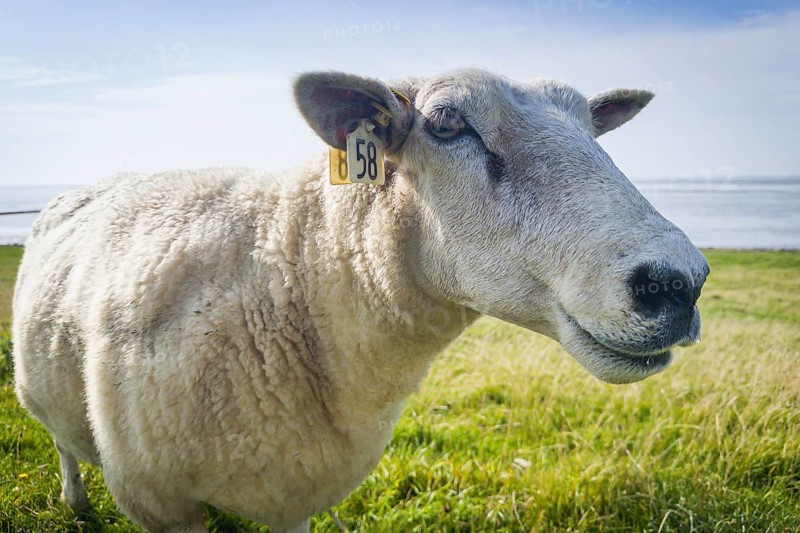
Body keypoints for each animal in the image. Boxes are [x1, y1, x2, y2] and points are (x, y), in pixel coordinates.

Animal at [12, 68, 709, 532]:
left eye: (594, 130)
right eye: (447, 124)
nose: (678, 283)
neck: (290, 273)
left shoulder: (295, 493)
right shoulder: (161, 504)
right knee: (63, 441)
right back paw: (76, 502)